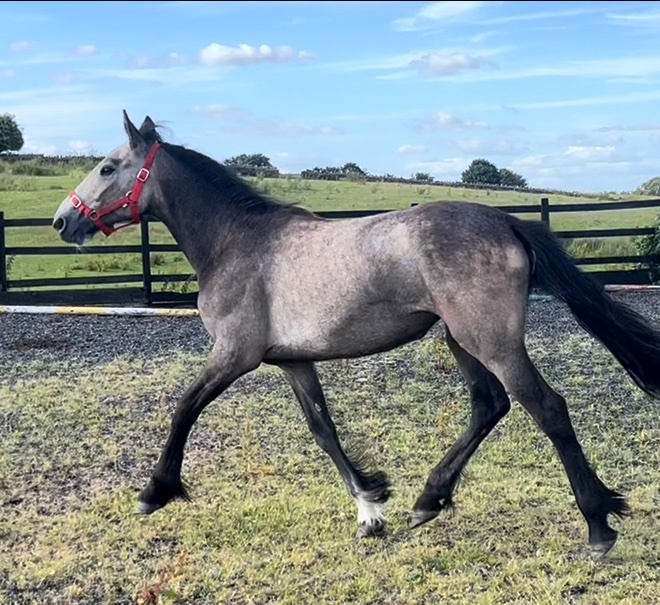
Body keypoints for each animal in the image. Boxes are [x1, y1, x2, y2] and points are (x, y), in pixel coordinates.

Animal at [52, 111, 660, 560]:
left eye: (107, 167)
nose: (63, 221)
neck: (236, 242)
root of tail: (508, 221)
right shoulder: (292, 361)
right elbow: (324, 430)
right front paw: (371, 508)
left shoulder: (234, 355)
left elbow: (184, 409)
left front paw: (155, 491)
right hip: (461, 340)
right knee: (490, 405)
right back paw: (428, 499)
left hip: (490, 340)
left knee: (546, 407)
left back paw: (598, 527)